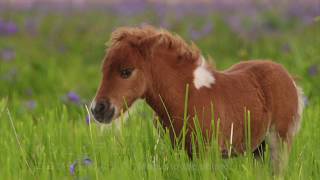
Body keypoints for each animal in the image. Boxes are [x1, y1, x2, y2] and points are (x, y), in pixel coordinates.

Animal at [90, 25, 304, 173]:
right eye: (103, 71)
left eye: (126, 72)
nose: (98, 109)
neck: (188, 96)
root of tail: (288, 77)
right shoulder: (181, 152)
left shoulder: (209, 153)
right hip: (257, 147)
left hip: (279, 141)